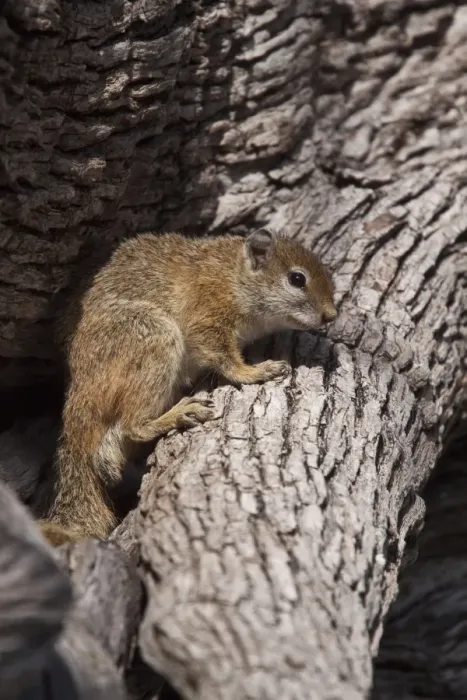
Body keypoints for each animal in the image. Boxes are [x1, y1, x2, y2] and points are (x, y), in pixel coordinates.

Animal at [39, 228, 337, 546]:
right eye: (297, 279)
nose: (331, 315)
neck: (234, 274)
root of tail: (78, 403)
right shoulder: (207, 309)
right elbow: (220, 353)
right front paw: (253, 371)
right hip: (152, 338)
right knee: (133, 425)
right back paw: (177, 414)